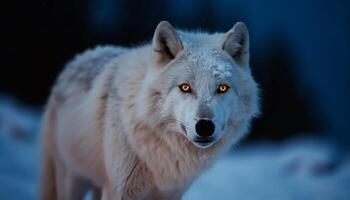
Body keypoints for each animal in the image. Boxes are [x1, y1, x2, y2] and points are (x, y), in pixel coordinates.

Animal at [40, 20, 260, 200]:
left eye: (222, 88)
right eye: (185, 87)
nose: (205, 127)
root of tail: (79, 58)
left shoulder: (171, 195)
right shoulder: (119, 191)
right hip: (73, 179)